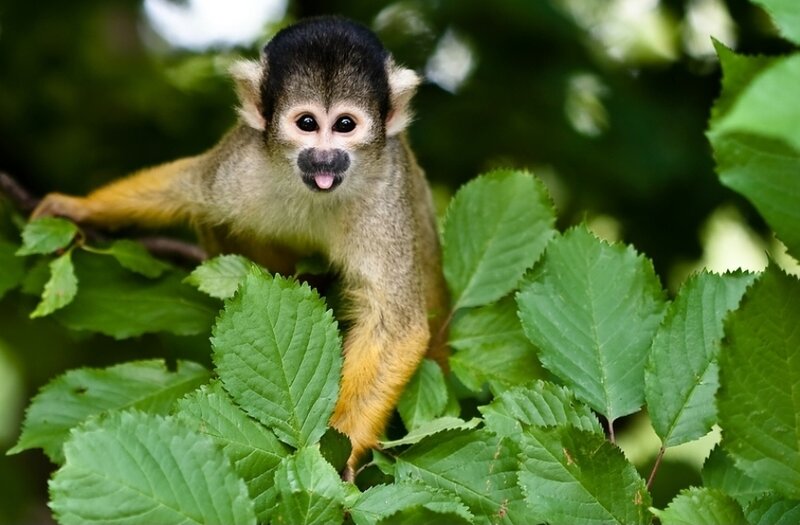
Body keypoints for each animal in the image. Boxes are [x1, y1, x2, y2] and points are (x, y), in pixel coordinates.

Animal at [31, 16, 448, 476]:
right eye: (307, 123)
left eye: (344, 125)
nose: (324, 157)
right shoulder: (244, 159)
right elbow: (187, 187)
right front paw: (80, 208)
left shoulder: (386, 191)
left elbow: (395, 325)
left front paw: (336, 453)